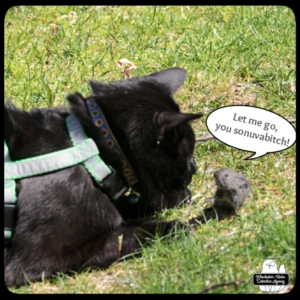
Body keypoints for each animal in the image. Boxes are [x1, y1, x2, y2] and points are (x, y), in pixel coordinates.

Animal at [4, 67, 202, 286]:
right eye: (186, 153)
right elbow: (126, 236)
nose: (194, 166)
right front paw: (174, 225)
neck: (94, 143)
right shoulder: (37, 261)